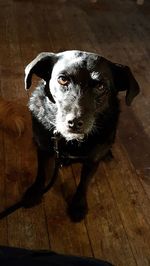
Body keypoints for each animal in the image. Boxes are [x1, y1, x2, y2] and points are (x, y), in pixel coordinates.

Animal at [23, 50, 139, 222]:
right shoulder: (43, 149)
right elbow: (41, 172)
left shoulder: (92, 161)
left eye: (100, 86)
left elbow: (84, 183)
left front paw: (78, 205)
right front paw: (35, 191)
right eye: (63, 79)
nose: (74, 122)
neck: (69, 141)